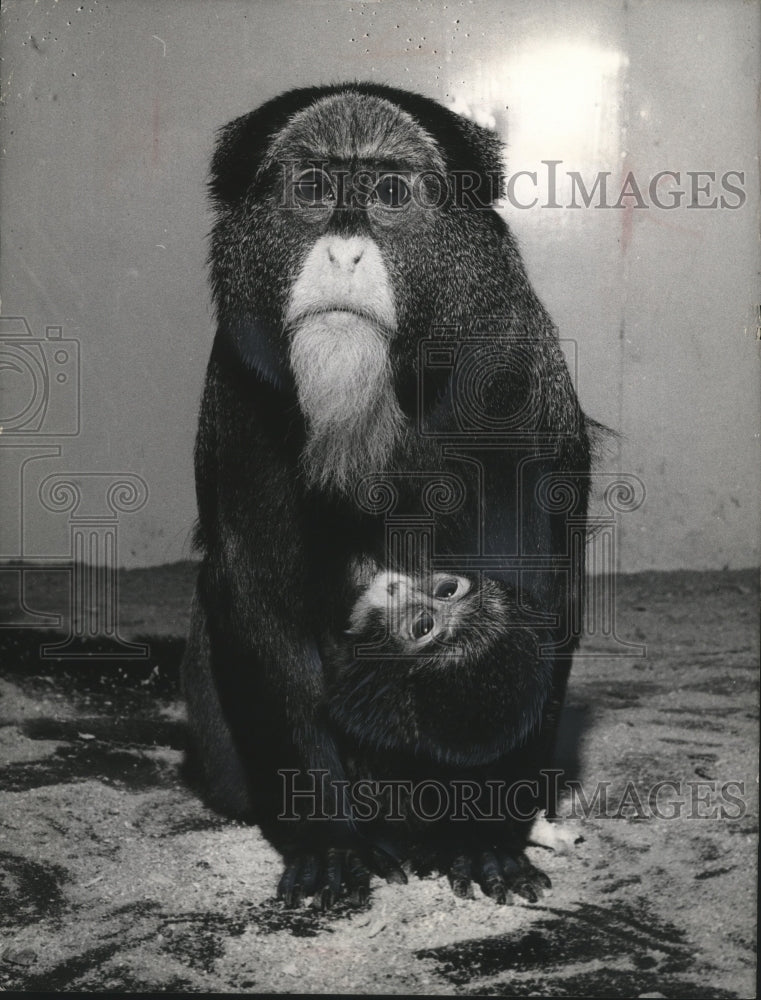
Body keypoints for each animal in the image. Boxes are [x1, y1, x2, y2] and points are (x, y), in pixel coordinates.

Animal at [181, 82, 592, 912]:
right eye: (311, 188)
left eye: (390, 194)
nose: (343, 250)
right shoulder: (238, 379)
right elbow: (254, 595)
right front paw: (328, 838)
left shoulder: (517, 371)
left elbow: (536, 587)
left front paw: (483, 836)